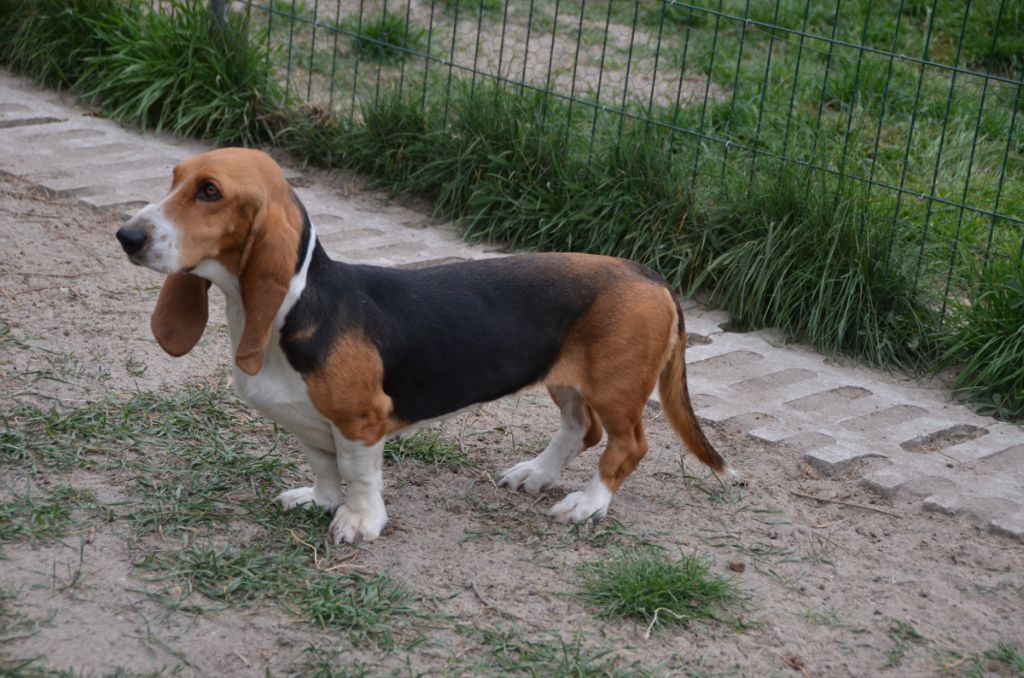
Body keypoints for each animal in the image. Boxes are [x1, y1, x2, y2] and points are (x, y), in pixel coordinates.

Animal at [116, 148, 731, 544]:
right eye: (175, 179)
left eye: (210, 192)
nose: (127, 236)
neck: (290, 307)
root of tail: (650, 276)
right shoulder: (310, 424)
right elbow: (324, 467)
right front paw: (320, 500)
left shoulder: (360, 423)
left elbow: (360, 477)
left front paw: (358, 522)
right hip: (567, 380)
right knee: (584, 430)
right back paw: (536, 473)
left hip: (616, 386)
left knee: (626, 446)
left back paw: (587, 503)